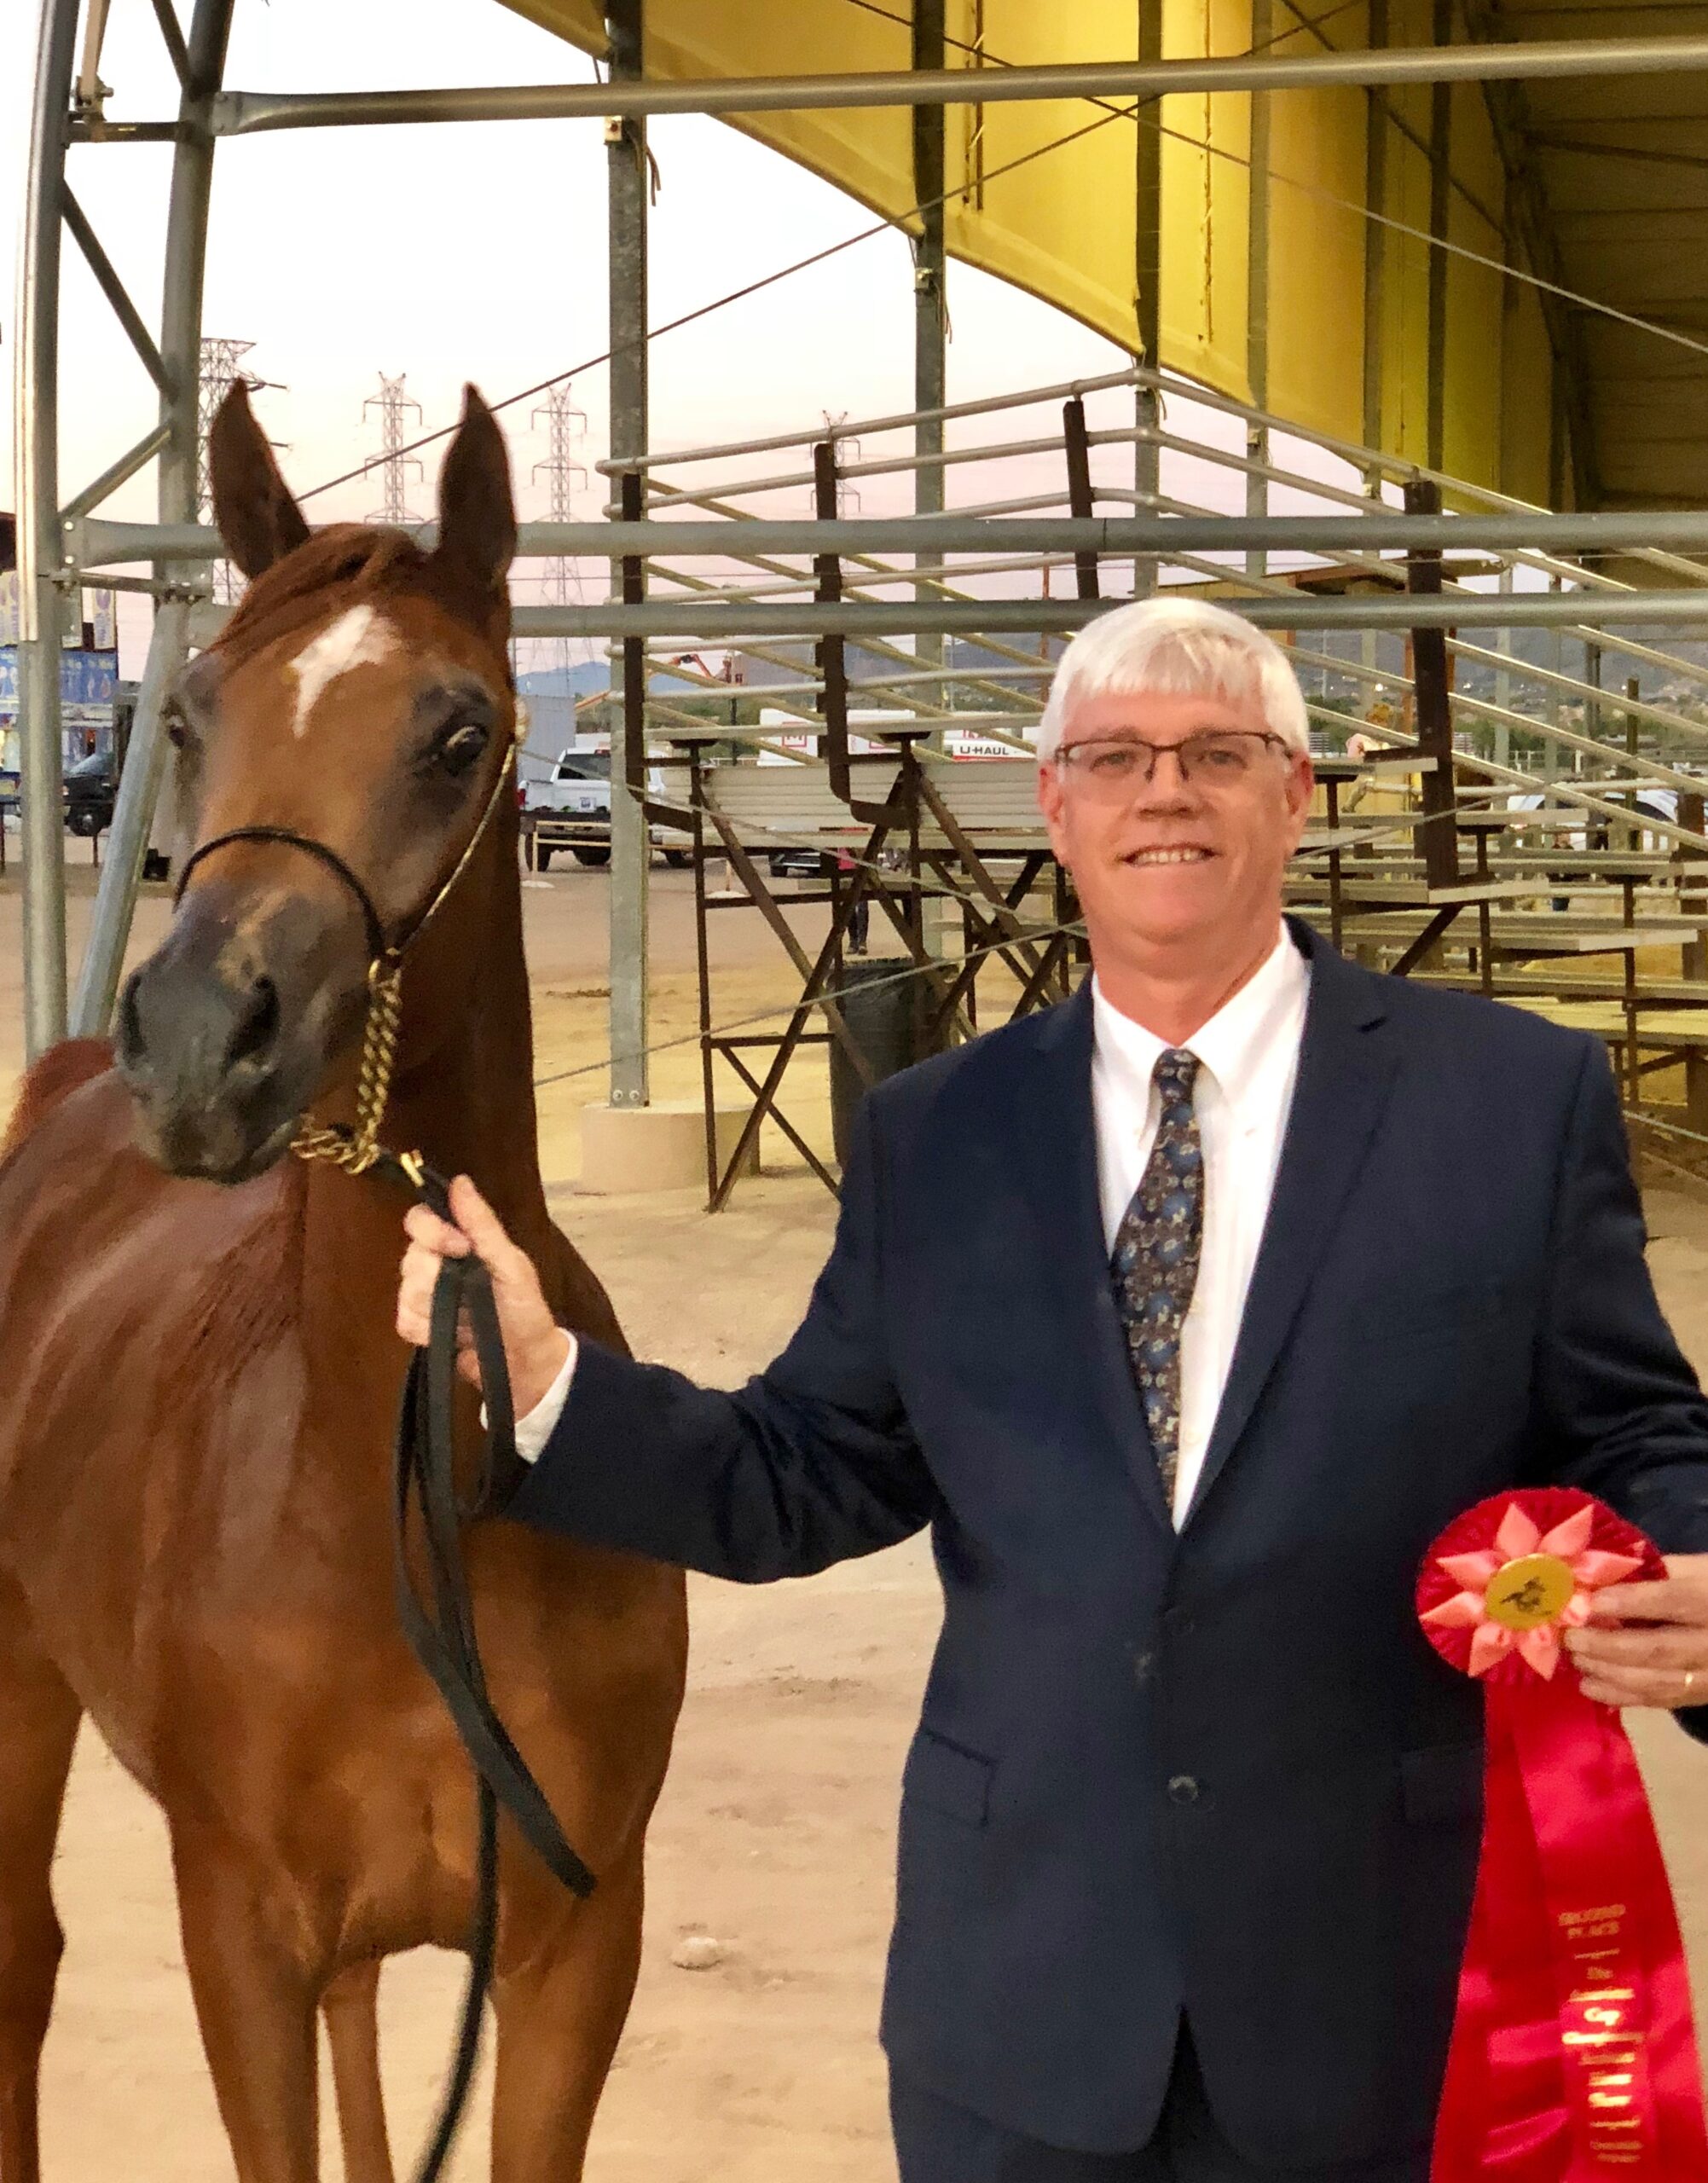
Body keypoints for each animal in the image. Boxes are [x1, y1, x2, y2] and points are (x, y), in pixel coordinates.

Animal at [0, 384, 688, 2183]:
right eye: (186, 717)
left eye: (458, 734)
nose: (197, 1043)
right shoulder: (237, 1931)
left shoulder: (574, 1945)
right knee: (23, 1961)